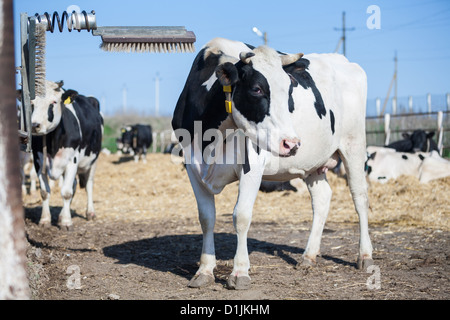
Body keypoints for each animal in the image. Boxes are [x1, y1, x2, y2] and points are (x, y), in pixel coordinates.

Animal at [19, 80, 103, 230]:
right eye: (31, 103)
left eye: (54, 102)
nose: (34, 125)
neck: (53, 142)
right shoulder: (39, 162)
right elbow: (45, 192)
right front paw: (45, 220)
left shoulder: (72, 161)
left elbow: (66, 193)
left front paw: (66, 222)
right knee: (74, 184)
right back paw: (62, 214)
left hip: (93, 160)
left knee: (88, 184)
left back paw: (90, 212)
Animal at [172, 38, 372, 290]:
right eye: (257, 89)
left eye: (289, 90)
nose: (292, 143)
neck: (211, 138)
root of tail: (343, 60)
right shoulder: (192, 166)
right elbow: (206, 218)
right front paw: (204, 271)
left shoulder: (252, 164)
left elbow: (241, 216)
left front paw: (240, 272)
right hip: (314, 163)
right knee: (322, 199)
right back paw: (308, 256)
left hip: (354, 145)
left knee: (360, 197)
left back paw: (365, 255)